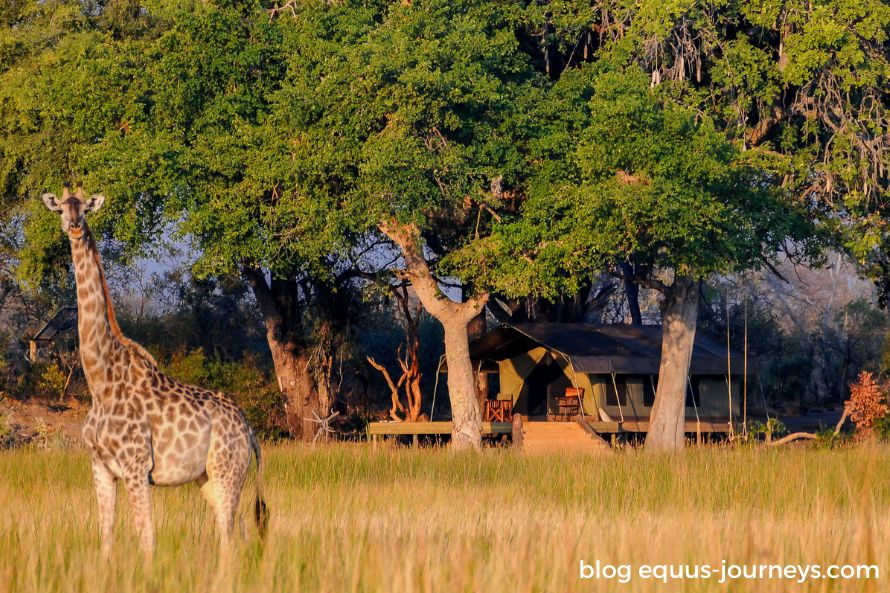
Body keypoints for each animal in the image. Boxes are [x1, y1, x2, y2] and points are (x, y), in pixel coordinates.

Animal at [40, 182, 268, 560]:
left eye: (85, 209)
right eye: (60, 209)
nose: (73, 227)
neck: (101, 383)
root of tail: (249, 431)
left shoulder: (136, 468)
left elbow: (147, 539)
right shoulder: (100, 467)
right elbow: (106, 537)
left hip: (228, 472)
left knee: (228, 533)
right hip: (207, 478)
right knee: (234, 532)